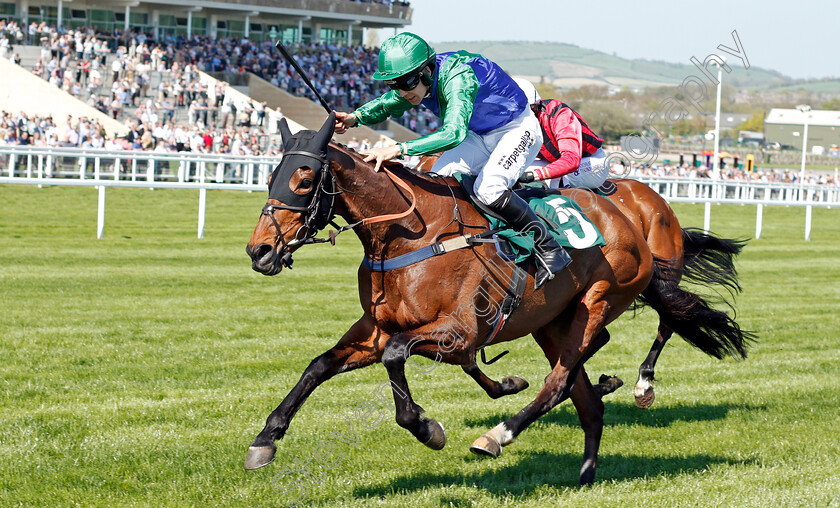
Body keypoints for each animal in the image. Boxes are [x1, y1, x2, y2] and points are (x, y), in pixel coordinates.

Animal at [244, 114, 656, 484]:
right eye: (270, 178)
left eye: (304, 181)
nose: (259, 251)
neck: (412, 234)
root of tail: (627, 217)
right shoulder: (376, 328)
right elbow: (318, 366)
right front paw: (265, 439)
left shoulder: (461, 330)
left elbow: (398, 354)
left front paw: (427, 427)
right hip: (551, 322)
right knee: (582, 395)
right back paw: (586, 469)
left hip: (597, 301)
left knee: (559, 381)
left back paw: (498, 435)